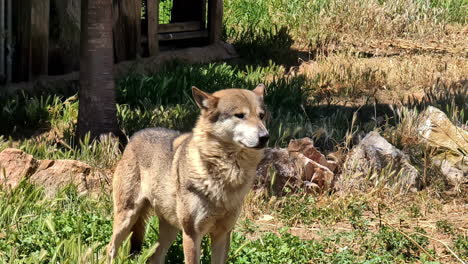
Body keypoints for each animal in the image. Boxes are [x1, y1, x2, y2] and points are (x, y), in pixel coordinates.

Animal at [107, 85, 266, 264]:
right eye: (240, 115)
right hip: (128, 216)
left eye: (261, 116)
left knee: (154, 257)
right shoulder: (192, 234)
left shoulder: (223, 234)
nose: (265, 137)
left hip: (170, 230)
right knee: (110, 248)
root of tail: (133, 137)